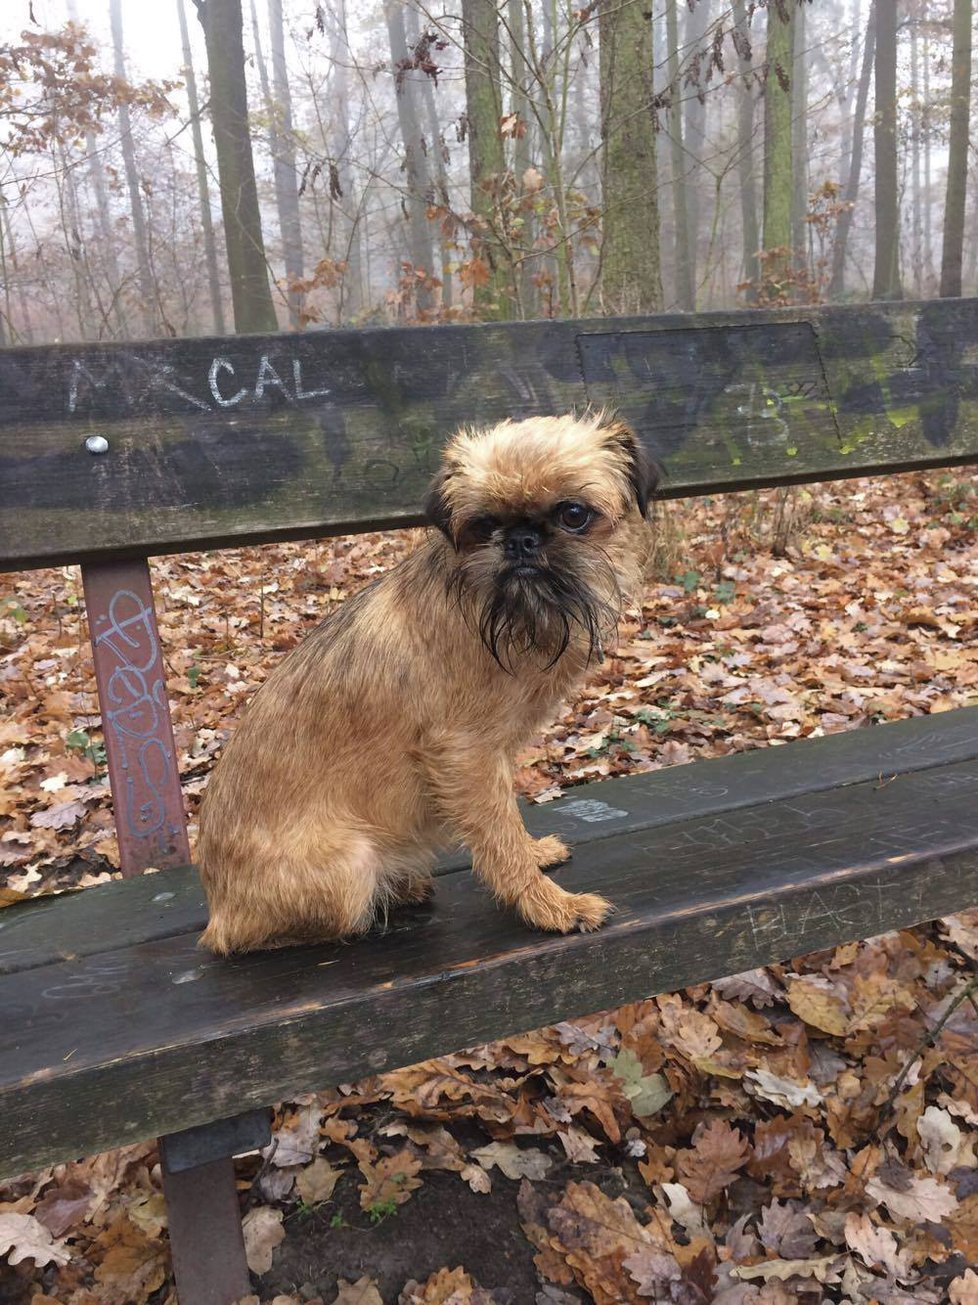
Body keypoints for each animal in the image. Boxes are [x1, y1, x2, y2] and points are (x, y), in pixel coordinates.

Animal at [195, 412, 655, 955]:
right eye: (483, 525)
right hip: (350, 866)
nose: (521, 539)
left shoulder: (492, 757)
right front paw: (549, 906)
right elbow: (497, 834)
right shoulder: (465, 753)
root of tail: (217, 911)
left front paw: (533, 854)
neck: (514, 616)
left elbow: (507, 820)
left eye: (574, 514)